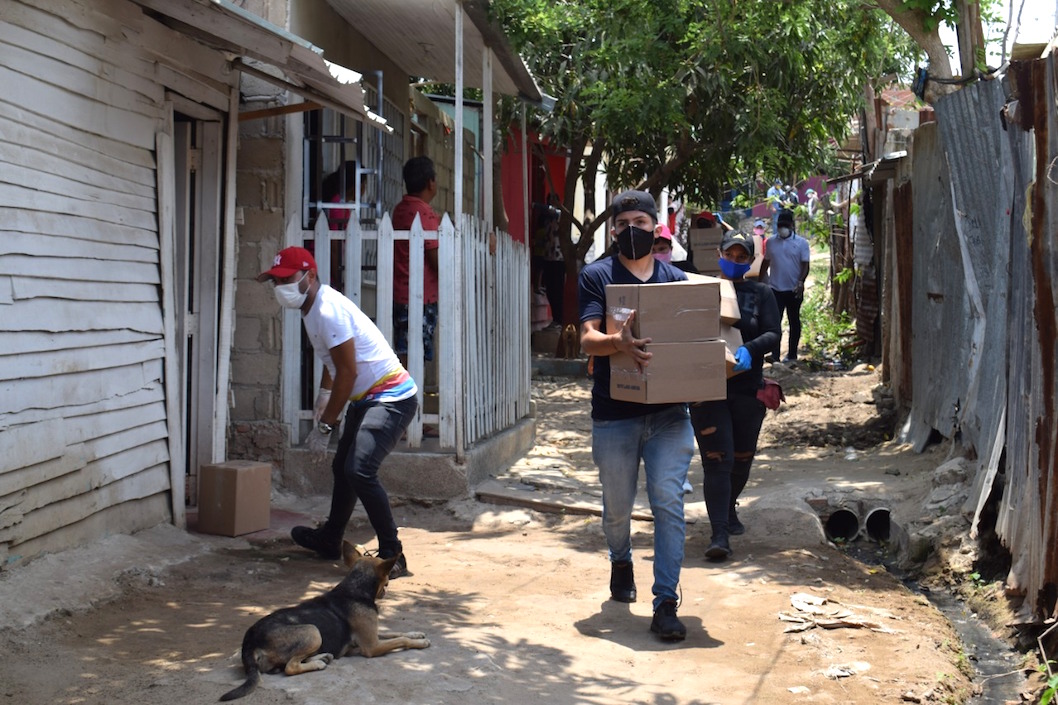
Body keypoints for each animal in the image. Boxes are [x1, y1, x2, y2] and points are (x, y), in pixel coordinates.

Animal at [219, 537, 429, 698]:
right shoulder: (372, 646)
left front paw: (417, 633)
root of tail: (249, 641)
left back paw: (323, 656)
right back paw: (319, 662)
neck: (354, 588)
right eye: (386, 581)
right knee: (290, 667)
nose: (385, 592)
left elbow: (396, 632)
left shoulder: (373, 634)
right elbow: (400, 639)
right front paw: (420, 643)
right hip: (313, 631)